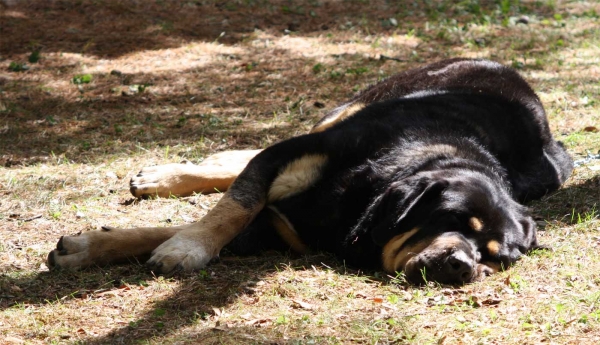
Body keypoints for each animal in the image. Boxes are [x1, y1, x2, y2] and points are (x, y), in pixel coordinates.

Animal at [47, 59, 572, 284]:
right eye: (453, 220)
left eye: (497, 259)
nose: (464, 266)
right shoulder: (290, 156)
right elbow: (230, 209)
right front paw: (185, 248)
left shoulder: (276, 230)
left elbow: (195, 221)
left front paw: (90, 248)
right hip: (354, 104)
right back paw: (167, 176)